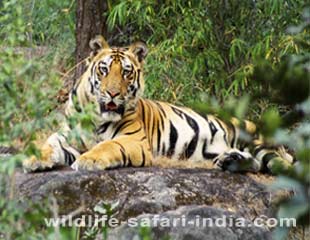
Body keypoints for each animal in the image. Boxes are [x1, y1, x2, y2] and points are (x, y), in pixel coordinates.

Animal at [22, 35, 296, 173]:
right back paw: (230, 161)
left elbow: (106, 146)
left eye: (126, 72)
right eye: (104, 70)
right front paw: (33, 159)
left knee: (279, 166)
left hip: (258, 141)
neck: (97, 116)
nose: (112, 94)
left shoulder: (134, 141)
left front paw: (89, 160)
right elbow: (49, 143)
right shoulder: (67, 135)